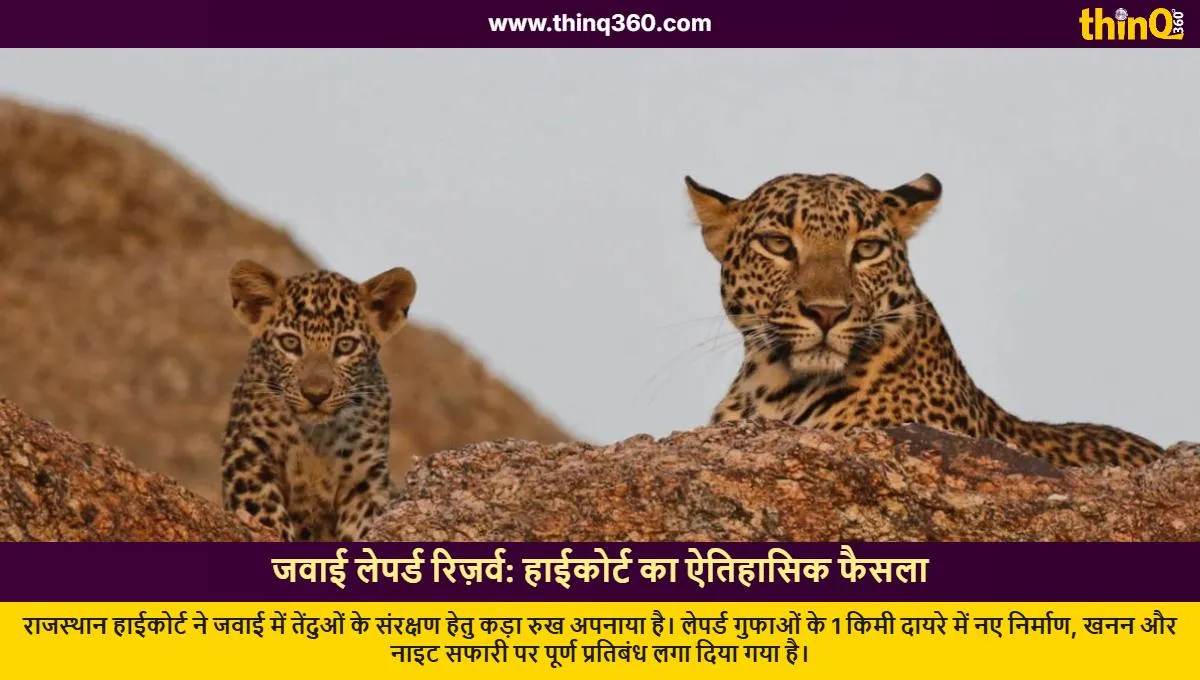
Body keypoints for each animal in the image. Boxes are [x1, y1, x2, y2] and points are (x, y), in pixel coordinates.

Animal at [221, 259, 417, 540]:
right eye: (290, 343)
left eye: (345, 346)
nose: (316, 395)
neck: (315, 439)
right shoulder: (246, 452)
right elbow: (265, 508)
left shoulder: (365, 476)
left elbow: (363, 523)